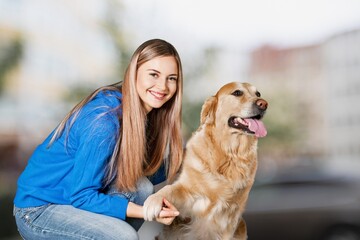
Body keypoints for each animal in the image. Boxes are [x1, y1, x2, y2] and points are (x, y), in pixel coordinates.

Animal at [143, 81, 268, 239]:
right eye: (237, 93)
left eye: (258, 94)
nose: (263, 104)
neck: (229, 154)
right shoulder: (188, 191)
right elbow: (169, 189)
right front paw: (152, 202)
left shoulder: (231, 215)